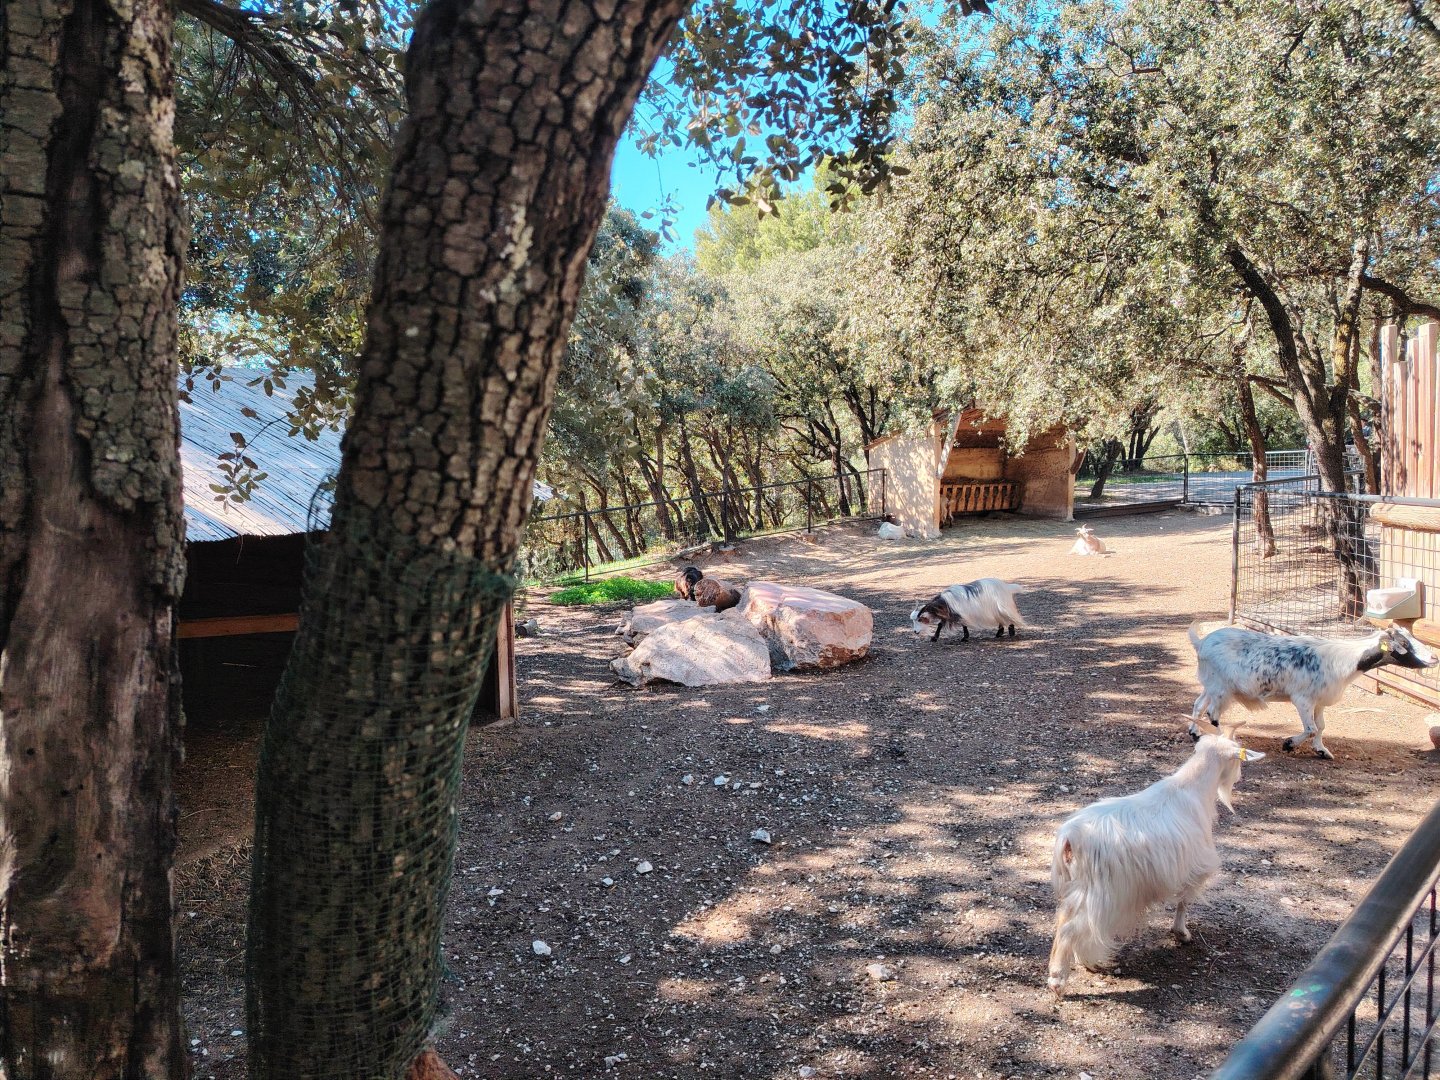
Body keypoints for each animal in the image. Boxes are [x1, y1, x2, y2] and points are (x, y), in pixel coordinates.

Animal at [1048, 734, 1264, 996]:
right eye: (1236, 760)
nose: (1239, 777)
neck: (1192, 788)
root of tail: (1071, 837)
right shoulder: (1193, 867)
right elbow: (1183, 901)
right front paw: (1181, 934)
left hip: (1081, 888)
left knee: (1065, 919)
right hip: (1104, 895)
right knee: (1070, 929)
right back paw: (1058, 979)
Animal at [1188, 623, 1437, 760]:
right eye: (1404, 644)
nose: (1434, 657)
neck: (1347, 659)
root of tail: (1202, 643)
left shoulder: (1319, 701)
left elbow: (1321, 727)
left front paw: (1322, 751)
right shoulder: (1303, 699)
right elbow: (1310, 728)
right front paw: (1288, 744)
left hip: (1212, 684)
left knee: (1199, 704)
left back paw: (1195, 733)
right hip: (1221, 687)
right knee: (1212, 712)